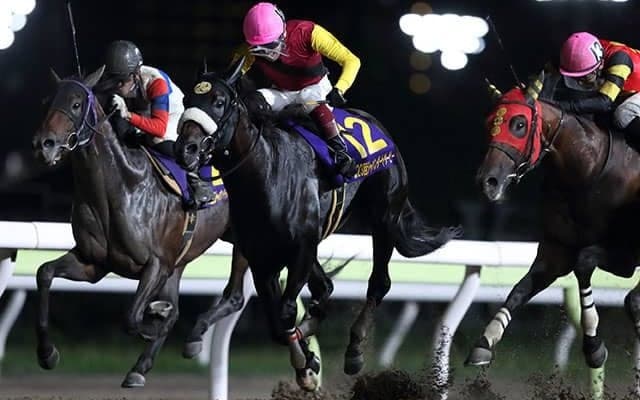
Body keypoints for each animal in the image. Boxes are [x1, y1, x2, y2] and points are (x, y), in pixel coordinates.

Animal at [32, 66, 251, 388]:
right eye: (48, 102)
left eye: (76, 104)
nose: (43, 145)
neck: (119, 187)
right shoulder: (94, 264)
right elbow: (44, 273)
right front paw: (47, 354)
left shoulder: (156, 264)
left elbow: (133, 318)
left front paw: (154, 318)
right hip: (181, 259)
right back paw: (142, 364)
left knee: (235, 295)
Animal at [173, 58, 461, 391]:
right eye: (187, 100)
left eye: (219, 102)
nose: (186, 149)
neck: (266, 175)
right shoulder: (262, 258)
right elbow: (278, 323)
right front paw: (308, 360)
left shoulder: (299, 250)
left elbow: (286, 312)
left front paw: (306, 366)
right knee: (324, 288)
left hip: (384, 216)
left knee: (378, 283)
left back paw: (354, 350)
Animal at [466, 70, 640, 372]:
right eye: (489, 124)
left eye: (519, 123)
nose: (488, 182)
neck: (587, 171)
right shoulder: (556, 250)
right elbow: (520, 290)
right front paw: (485, 343)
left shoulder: (626, 256)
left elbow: (585, 263)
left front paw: (593, 347)